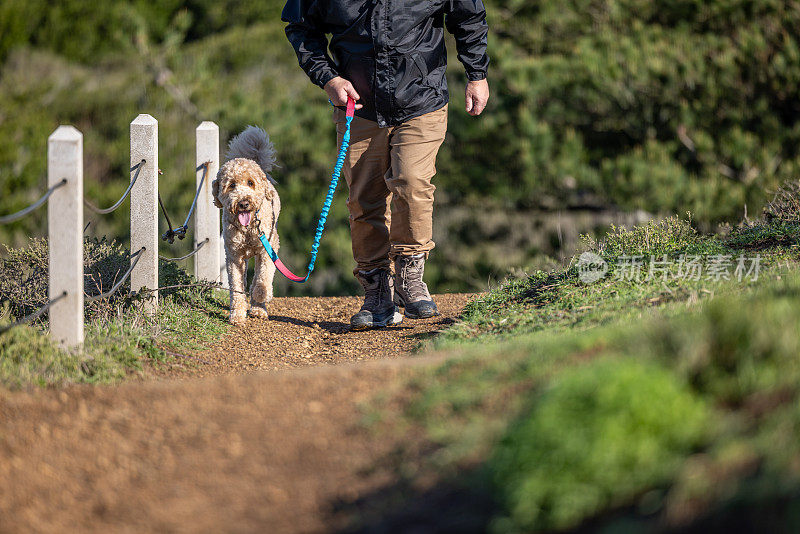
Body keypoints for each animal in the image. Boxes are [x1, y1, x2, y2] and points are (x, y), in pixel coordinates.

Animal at [212, 127, 282, 326]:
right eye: (231, 185)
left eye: (251, 183)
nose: (243, 203)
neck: (248, 228)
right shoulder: (234, 256)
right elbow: (236, 285)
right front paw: (237, 315)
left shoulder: (268, 249)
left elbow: (263, 277)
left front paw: (261, 295)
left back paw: (259, 308)